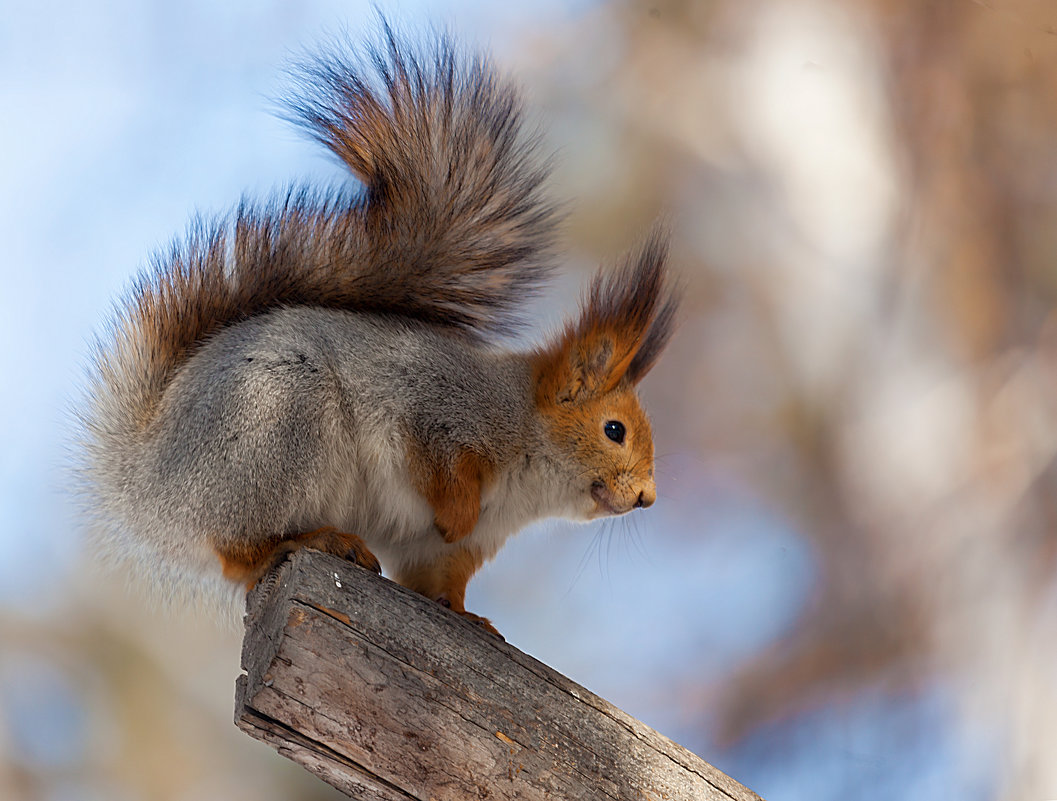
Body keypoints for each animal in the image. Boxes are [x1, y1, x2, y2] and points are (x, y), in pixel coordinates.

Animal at [80, 21, 676, 638]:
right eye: (614, 430)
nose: (648, 498)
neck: (529, 448)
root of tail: (146, 480)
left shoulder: (451, 550)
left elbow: (440, 579)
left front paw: (469, 618)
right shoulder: (435, 409)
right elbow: (437, 463)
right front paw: (458, 513)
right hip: (279, 429)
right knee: (237, 552)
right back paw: (308, 541)